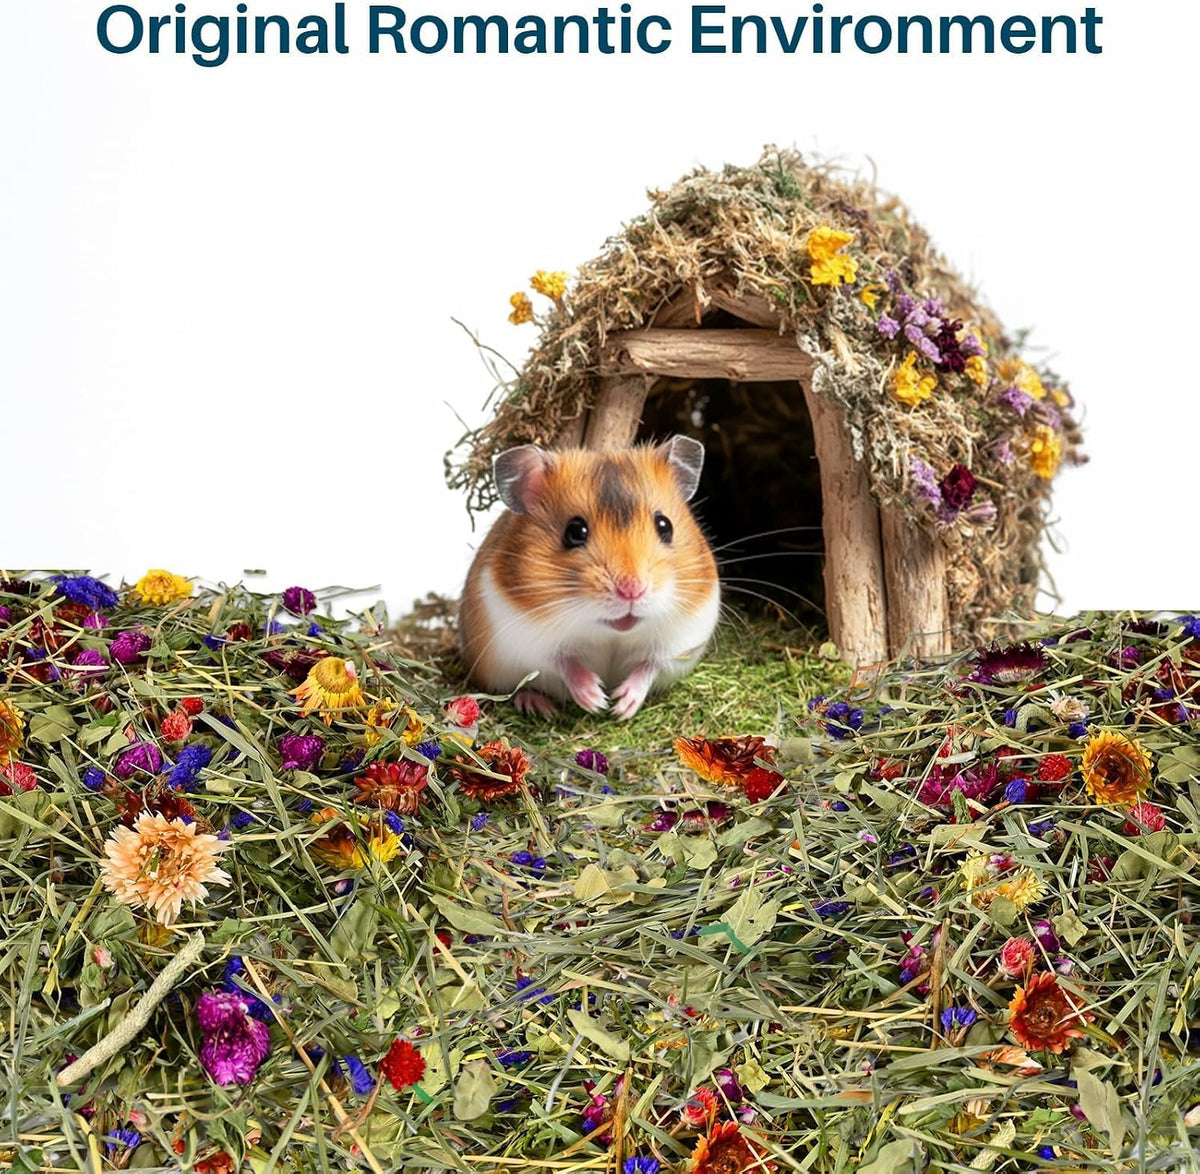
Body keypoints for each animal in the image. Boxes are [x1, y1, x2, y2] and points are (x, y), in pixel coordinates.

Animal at [459, 437, 720, 720]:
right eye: (575, 532)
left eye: (665, 526)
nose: (632, 590)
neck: (610, 631)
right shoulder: (526, 638)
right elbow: (563, 662)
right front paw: (597, 699)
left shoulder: (680, 641)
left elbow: (649, 666)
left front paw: (621, 706)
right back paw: (539, 705)